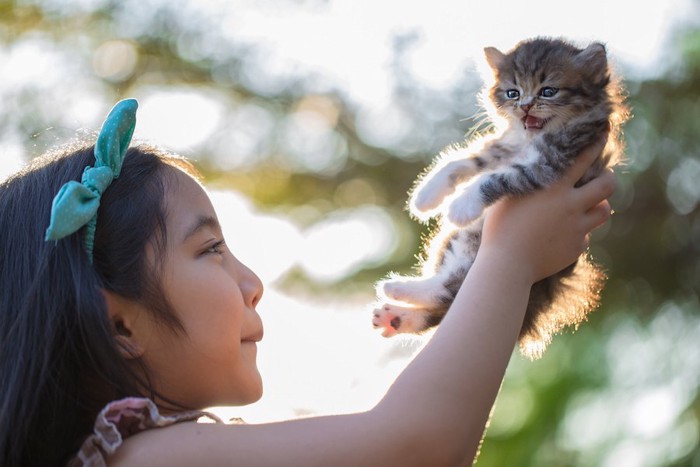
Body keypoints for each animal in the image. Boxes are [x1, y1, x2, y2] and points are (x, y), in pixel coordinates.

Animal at [372, 37, 628, 358]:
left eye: (548, 91)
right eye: (512, 92)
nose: (524, 106)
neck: (532, 139)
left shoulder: (548, 164)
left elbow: (496, 178)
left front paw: (460, 205)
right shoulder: (504, 147)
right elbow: (465, 161)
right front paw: (426, 195)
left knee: (449, 292)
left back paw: (397, 295)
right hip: (456, 240)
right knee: (448, 294)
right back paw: (398, 309)